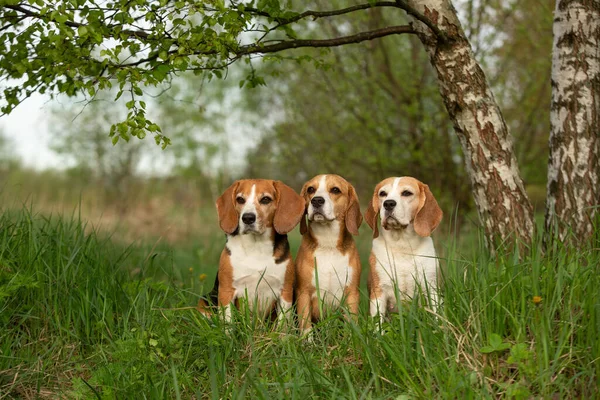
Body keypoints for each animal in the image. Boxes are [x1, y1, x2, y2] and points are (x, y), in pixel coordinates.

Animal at [211, 180, 304, 324]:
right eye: (240, 199)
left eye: (265, 199)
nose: (247, 218)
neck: (256, 246)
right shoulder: (226, 292)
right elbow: (228, 323)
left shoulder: (285, 292)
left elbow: (282, 324)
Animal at [294, 175, 360, 334]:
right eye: (310, 189)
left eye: (335, 190)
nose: (317, 200)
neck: (328, 245)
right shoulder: (303, 293)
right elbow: (306, 326)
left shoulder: (352, 294)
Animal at [364, 177, 442, 324]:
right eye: (383, 193)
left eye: (406, 193)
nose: (388, 204)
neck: (402, 245)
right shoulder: (379, 292)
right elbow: (378, 323)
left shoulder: (432, 288)